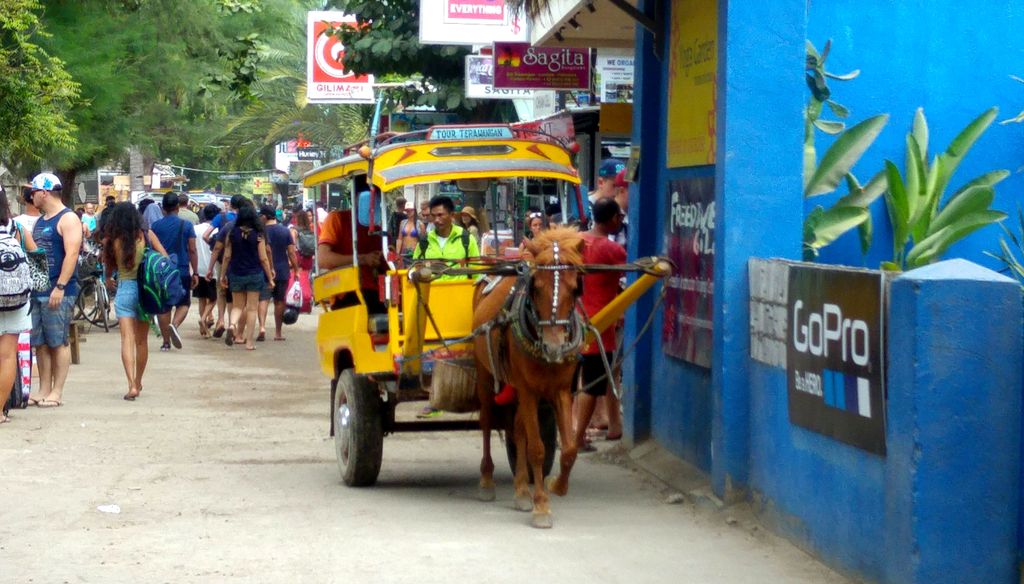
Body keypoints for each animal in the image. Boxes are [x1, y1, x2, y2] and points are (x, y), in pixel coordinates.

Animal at [471, 225, 585, 524]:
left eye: (574, 288)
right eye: (537, 287)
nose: (554, 347)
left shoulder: (561, 391)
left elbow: (569, 448)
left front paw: (557, 485)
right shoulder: (528, 391)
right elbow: (537, 448)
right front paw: (541, 506)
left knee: (518, 428)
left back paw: (522, 489)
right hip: (486, 376)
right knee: (487, 422)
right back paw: (486, 480)